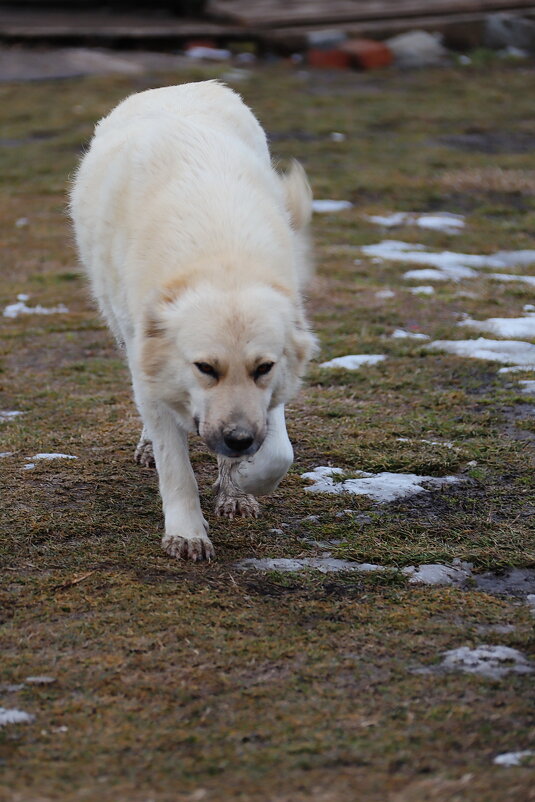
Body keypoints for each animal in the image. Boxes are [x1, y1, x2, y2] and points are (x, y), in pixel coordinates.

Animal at [69, 79, 316, 556]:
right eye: (205, 368)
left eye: (263, 368)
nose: (239, 440)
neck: (220, 259)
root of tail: (178, 84)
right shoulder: (151, 362)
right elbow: (175, 467)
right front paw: (186, 533)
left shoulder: (271, 388)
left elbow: (278, 453)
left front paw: (240, 484)